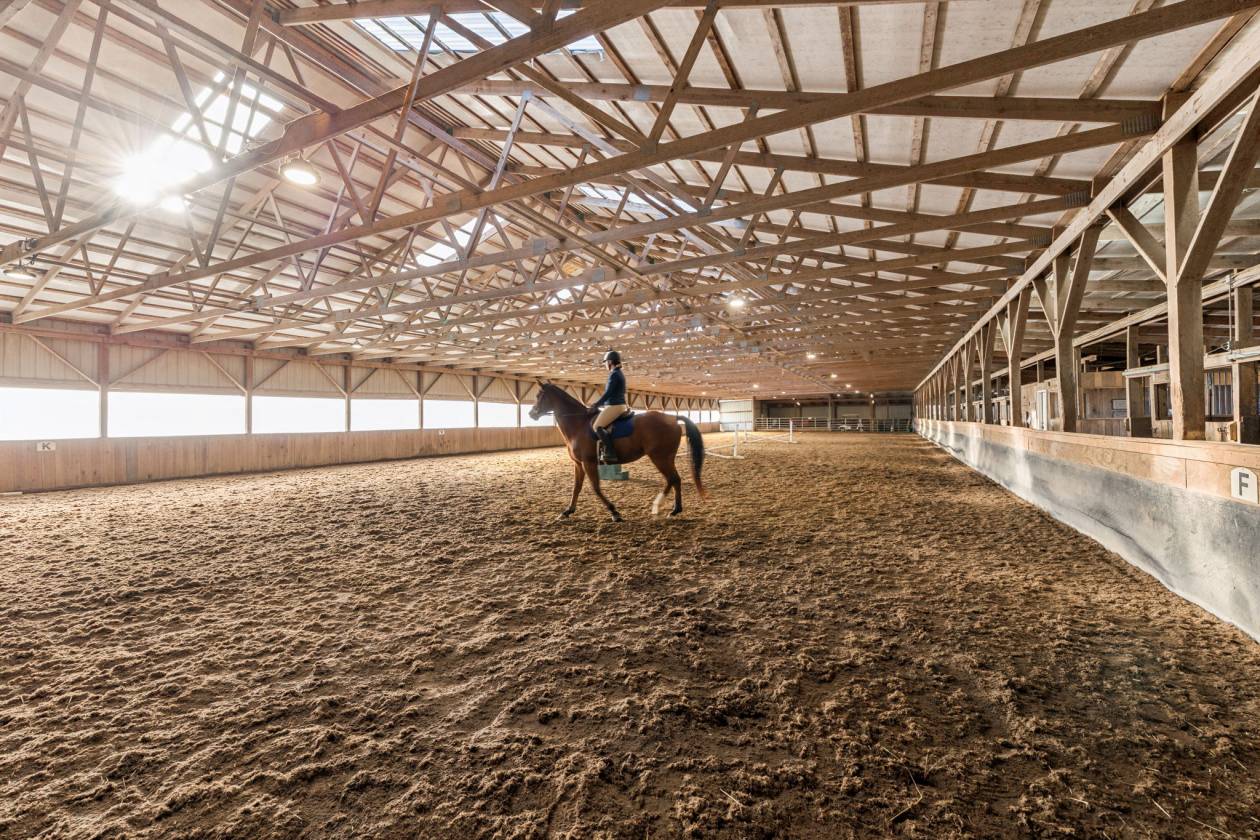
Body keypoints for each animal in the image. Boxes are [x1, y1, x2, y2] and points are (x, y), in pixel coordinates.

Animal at [528, 382, 707, 521]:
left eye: (539, 395)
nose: (531, 414)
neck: (578, 424)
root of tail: (673, 418)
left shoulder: (588, 462)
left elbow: (596, 488)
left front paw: (615, 512)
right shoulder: (578, 464)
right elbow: (576, 488)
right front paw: (567, 511)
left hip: (660, 457)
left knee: (672, 479)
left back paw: (662, 507)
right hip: (666, 458)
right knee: (674, 480)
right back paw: (672, 509)